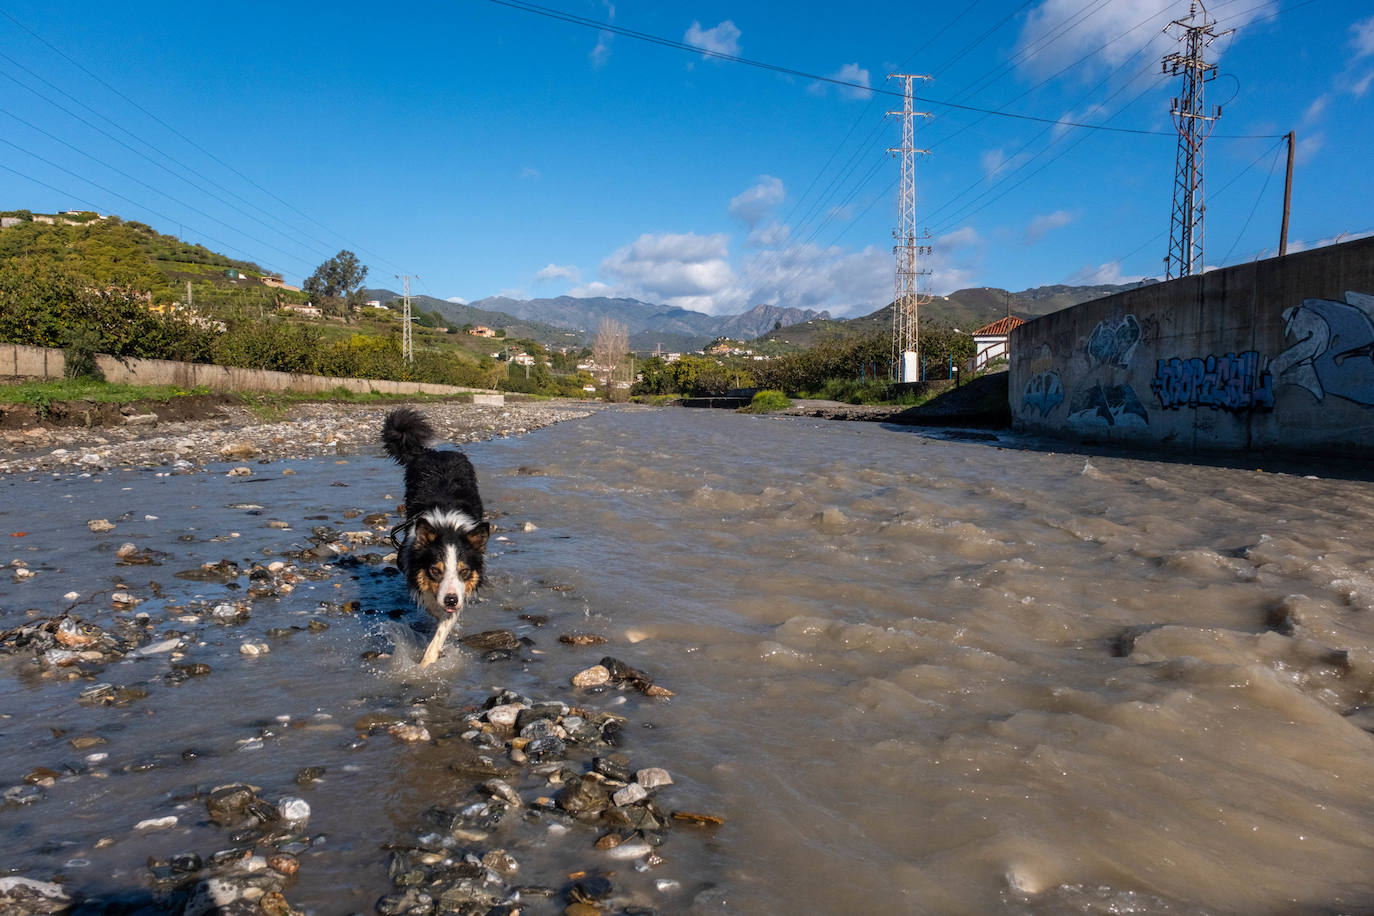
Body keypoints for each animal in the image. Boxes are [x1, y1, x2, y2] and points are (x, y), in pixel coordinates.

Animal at [384, 409, 491, 667]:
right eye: (435, 570)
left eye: (464, 571)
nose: (451, 601)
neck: (447, 525)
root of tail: (433, 452)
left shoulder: (460, 592)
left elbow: (442, 629)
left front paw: (428, 663)